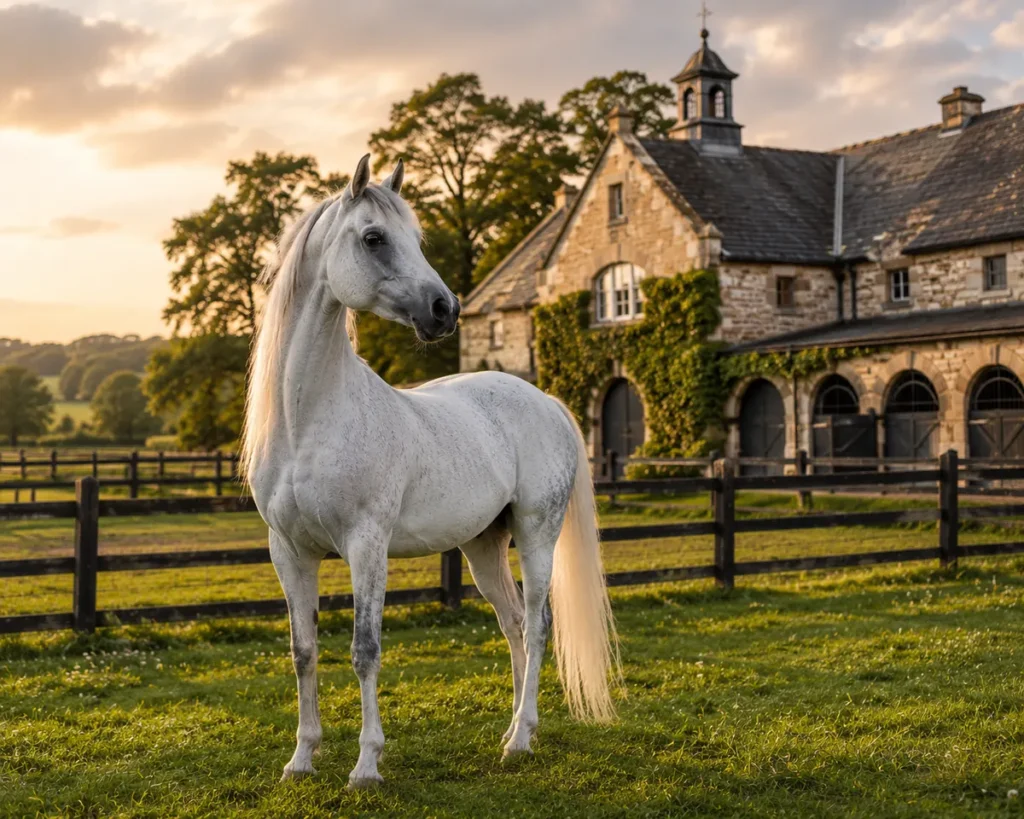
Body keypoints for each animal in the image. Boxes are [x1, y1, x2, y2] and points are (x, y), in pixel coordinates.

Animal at [242, 153, 619, 788]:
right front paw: (302, 759)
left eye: (415, 239)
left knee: (538, 622)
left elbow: (364, 650)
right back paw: (512, 732)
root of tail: (545, 400)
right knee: (513, 623)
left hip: (536, 533)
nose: (447, 311)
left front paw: (366, 765)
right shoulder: (288, 551)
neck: (308, 417)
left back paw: (522, 738)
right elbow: (304, 651)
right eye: (374, 237)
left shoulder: (366, 545)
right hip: (483, 546)